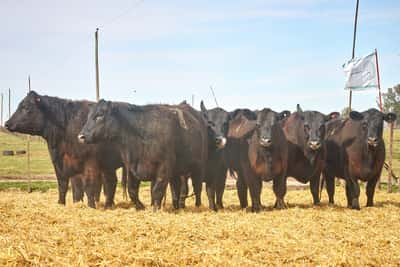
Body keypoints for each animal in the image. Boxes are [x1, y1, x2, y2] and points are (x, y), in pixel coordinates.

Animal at [79, 100, 209, 211]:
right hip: (176, 171)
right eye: (88, 116)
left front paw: (155, 209)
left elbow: (157, 190)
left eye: (100, 115)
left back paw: (197, 206)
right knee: (176, 188)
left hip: (198, 167)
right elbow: (132, 191)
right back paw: (176, 207)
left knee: (197, 187)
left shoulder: (164, 167)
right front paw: (140, 206)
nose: (81, 136)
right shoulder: (131, 166)